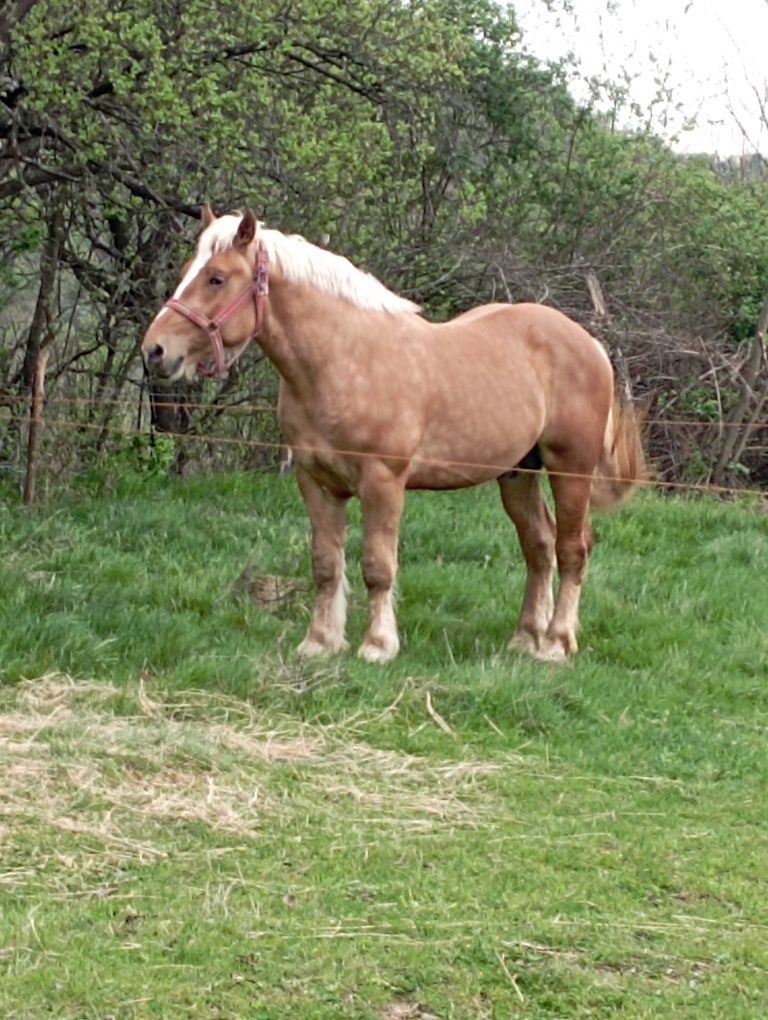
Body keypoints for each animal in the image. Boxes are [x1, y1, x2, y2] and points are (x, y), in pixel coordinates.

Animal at [142, 209, 640, 669]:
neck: (342, 360)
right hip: (517, 473)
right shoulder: (316, 482)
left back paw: (556, 643)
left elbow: (378, 568)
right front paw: (320, 642)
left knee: (571, 549)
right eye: (186, 270)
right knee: (538, 546)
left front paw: (377, 645)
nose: (155, 351)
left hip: (570, 468)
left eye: (217, 278)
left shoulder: (383, 482)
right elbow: (326, 565)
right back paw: (525, 638)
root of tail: (591, 345)